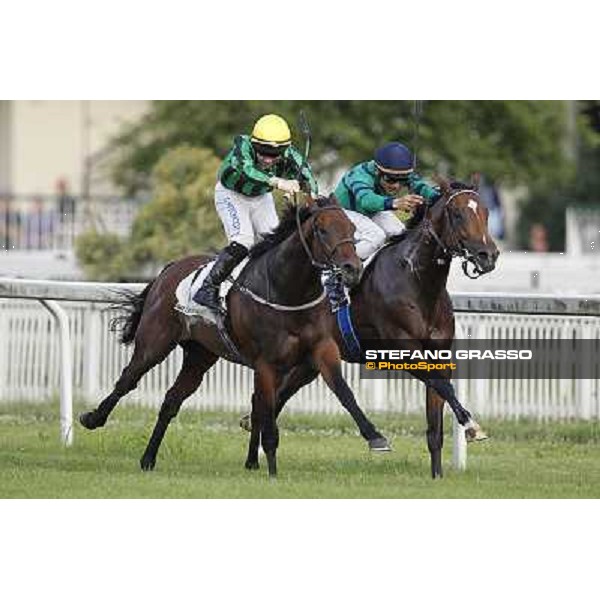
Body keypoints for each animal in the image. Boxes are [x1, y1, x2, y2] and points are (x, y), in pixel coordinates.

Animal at [79, 197, 390, 478]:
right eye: (323, 230)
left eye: (352, 228)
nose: (352, 269)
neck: (287, 291)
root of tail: (170, 268)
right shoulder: (266, 364)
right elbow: (267, 413)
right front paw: (272, 472)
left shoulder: (321, 350)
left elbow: (342, 391)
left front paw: (375, 436)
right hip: (154, 343)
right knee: (128, 379)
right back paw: (93, 418)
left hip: (200, 355)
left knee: (171, 401)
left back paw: (148, 459)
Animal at [246, 177, 500, 478]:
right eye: (458, 213)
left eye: (485, 212)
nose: (488, 255)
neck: (417, 280)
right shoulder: (401, 350)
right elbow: (443, 386)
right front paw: (472, 426)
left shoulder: (438, 354)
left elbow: (435, 423)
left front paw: (437, 475)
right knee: (264, 398)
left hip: (307, 363)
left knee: (273, 399)